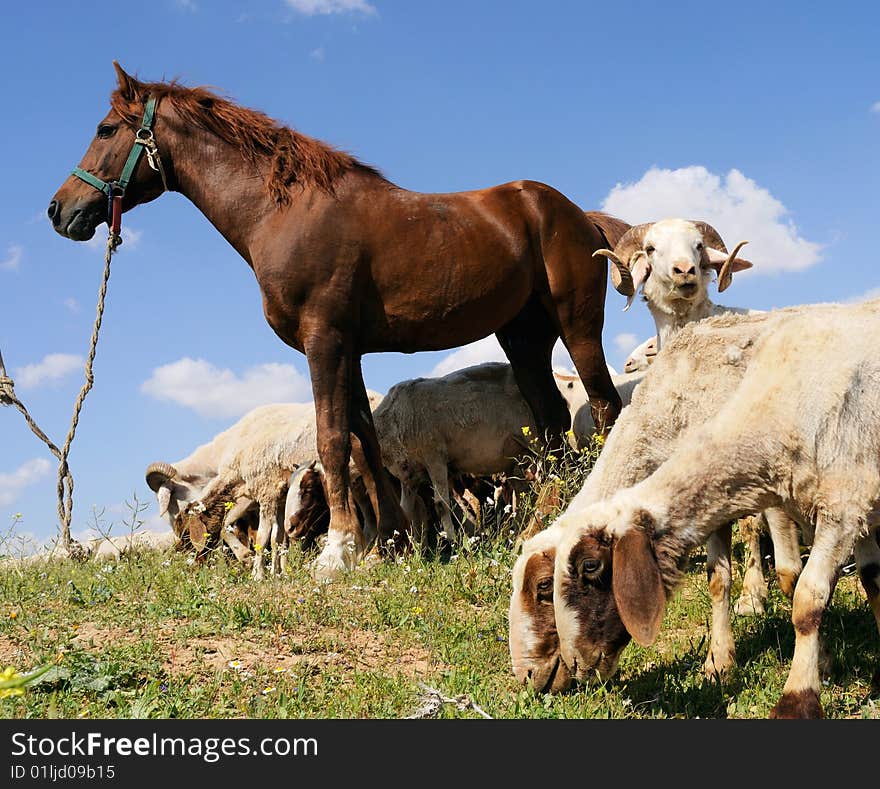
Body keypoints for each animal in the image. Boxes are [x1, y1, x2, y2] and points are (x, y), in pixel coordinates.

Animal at [48, 63, 628, 580]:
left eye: (105, 129)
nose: (58, 210)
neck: (284, 212)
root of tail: (577, 214)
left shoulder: (323, 341)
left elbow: (332, 441)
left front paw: (338, 551)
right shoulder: (351, 350)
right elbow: (363, 445)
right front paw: (386, 545)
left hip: (577, 327)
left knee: (604, 407)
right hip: (523, 340)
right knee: (552, 426)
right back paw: (538, 525)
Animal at [552, 298, 880, 716]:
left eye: (590, 567)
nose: (573, 667)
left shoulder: (844, 507)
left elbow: (805, 597)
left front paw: (798, 699)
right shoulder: (850, 507)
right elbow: (871, 580)